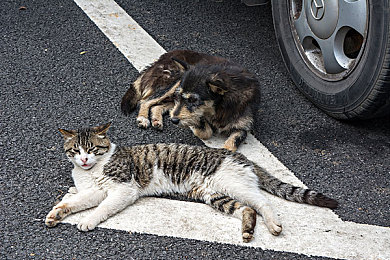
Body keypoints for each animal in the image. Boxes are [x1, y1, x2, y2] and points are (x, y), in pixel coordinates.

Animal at [45, 122, 336, 242]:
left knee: (263, 203)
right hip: (213, 195)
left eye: (93, 149)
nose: (84, 160)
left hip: (234, 184)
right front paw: (58, 212)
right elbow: (77, 201)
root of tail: (239, 155)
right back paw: (247, 230)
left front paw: (88, 221)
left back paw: (274, 225)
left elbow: (102, 208)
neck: (91, 171)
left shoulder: (123, 189)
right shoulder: (94, 191)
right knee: (247, 209)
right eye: (76, 150)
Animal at [120, 49, 260, 151]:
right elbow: (206, 131)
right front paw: (195, 125)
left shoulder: (242, 127)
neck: (222, 107)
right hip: (173, 83)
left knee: (158, 106)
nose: (174, 121)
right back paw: (143, 118)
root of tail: (165, 56)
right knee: (145, 101)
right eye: (184, 97)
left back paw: (156, 119)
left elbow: (233, 143)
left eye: (193, 100)